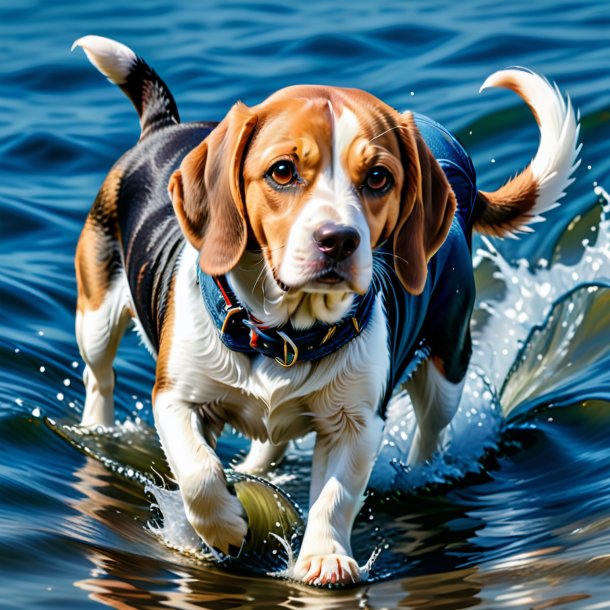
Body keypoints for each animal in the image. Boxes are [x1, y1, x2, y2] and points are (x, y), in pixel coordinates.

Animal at [73, 34, 576, 584]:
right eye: (283, 171)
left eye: (378, 177)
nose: (338, 239)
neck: (288, 333)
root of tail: (165, 127)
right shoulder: (176, 398)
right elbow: (200, 473)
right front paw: (225, 527)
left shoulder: (358, 422)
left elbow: (335, 497)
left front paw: (324, 557)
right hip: (95, 316)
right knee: (100, 378)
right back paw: (100, 429)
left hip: (448, 364)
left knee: (428, 430)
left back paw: (416, 474)